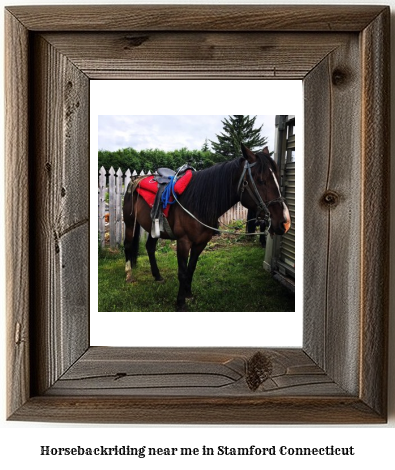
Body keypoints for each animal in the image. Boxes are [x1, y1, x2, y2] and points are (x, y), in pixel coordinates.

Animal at [122, 145, 292, 310]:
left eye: (278, 177)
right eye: (260, 180)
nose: (285, 222)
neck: (197, 201)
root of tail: (135, 179)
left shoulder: (201, 243)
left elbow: (191, 268)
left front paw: (188, 294)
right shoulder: (183, 242)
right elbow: (182, 272)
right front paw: (180, 303)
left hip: (154, 228)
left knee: (150, 247)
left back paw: (157, 276)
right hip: (130, 223)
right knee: (128, 245)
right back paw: (128, 275)